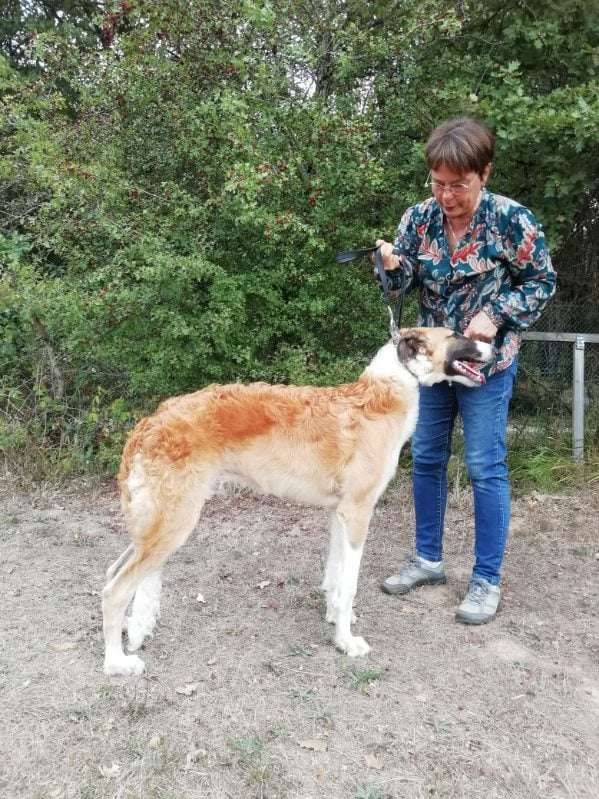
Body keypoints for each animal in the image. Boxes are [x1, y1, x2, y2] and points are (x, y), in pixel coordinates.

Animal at [101, 328, 490, 680]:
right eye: (456, 334)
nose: (494, 346)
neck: (382, 394)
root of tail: (149, 423)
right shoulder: (358, 512)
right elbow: (349, 584)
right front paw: (347, 642)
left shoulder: (339, 514)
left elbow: (334, 578)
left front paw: (335, 619)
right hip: (173, 524)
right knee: (114, 590)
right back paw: (117, 662)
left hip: (155, 526)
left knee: (112, 573)